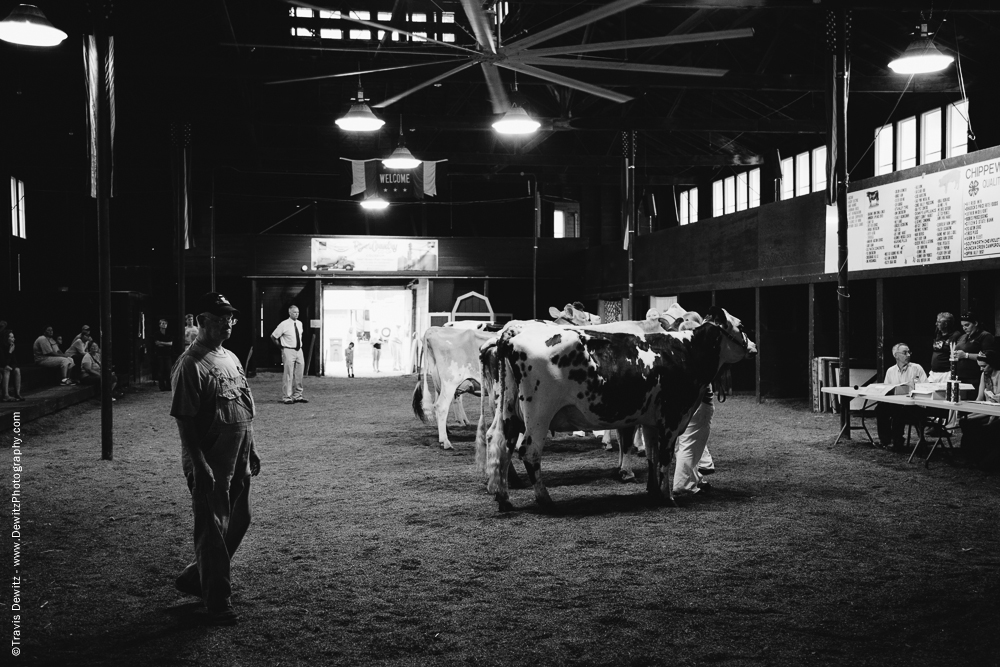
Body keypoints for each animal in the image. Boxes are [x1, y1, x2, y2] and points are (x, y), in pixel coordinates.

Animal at [480, 308, 752, 512]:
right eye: (741, 325)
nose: (753, 346)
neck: (684, 351)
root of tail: (510, 335)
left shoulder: (651, 419)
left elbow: (652, 454)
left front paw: (652, 490)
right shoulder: (673, 418)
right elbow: (662, 456)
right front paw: (666, 497)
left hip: (509, 410)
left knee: (501, 441)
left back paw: (504, 497)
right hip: (539, 413)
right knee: (528, 451)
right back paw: (545, 500)